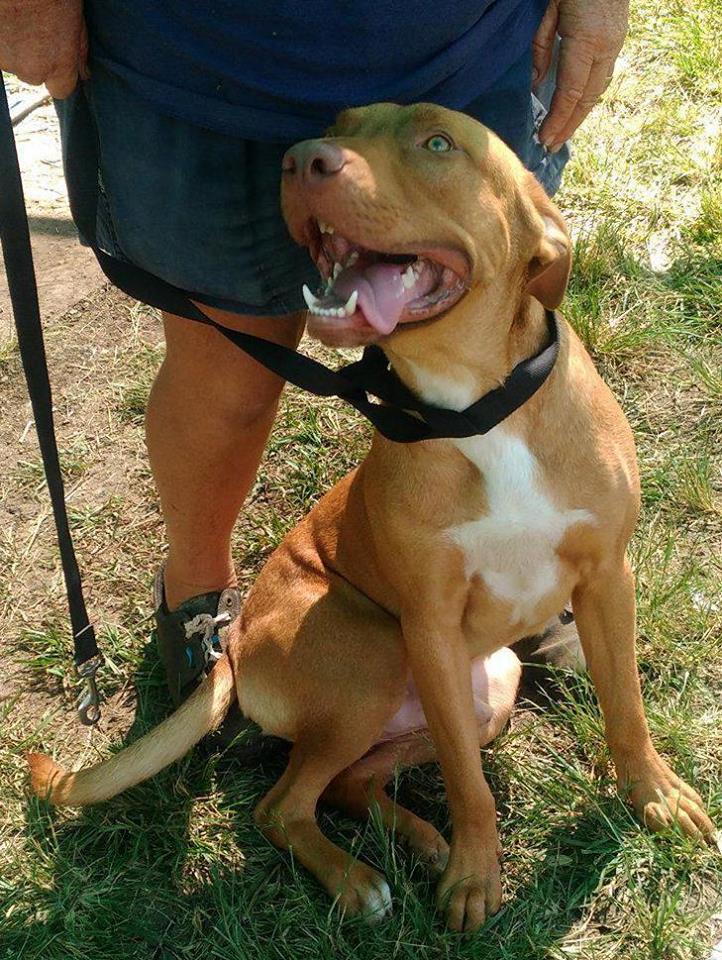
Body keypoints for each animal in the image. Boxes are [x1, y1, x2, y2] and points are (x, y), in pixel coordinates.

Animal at [26, 103, 708, 928]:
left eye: (438, 142)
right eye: (340, 124)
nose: (299, 159)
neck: (476, 407)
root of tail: (235, 644)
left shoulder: (608, 578)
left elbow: (627, 709)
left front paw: (656, 796)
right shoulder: (428, 623)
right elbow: (470, 786)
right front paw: (476, 877)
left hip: (489, 686)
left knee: (350, 782)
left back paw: (419, 840)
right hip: (375, 658)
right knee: (283, 803)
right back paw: (358, 880)